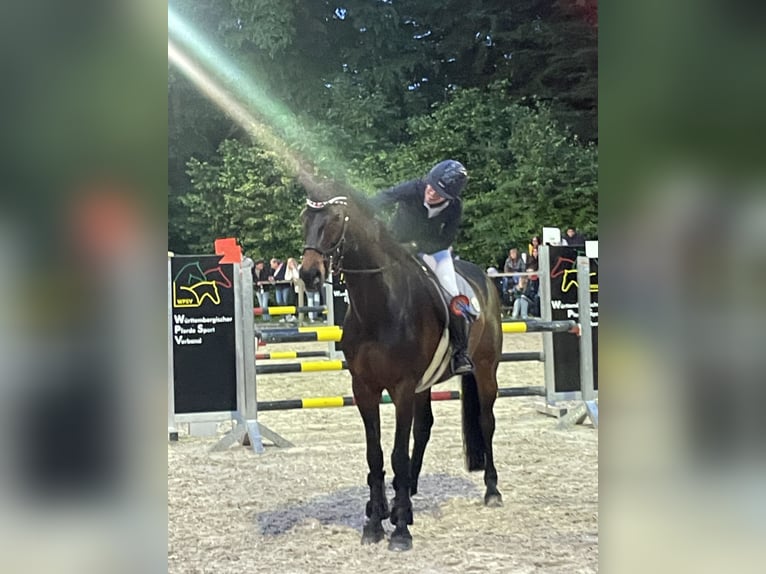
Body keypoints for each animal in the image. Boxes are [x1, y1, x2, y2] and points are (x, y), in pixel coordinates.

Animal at [299, 188, 504, 552]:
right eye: (304, 220)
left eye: (335, 220)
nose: (309, 274)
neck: (380, 307)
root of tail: (485, 281)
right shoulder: (365, 388)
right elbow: (376, 455)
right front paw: (377, 521)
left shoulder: (402, 388)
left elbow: (397, 454)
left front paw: (399, 532)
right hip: (426, 384)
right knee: (423, 429)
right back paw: (403, 499)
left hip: (484, 370)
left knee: (485, 422)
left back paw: (491, 490)